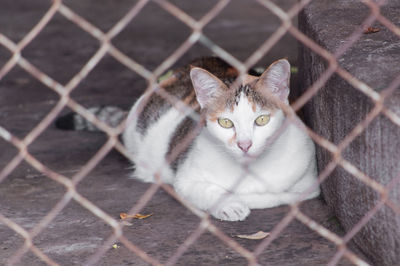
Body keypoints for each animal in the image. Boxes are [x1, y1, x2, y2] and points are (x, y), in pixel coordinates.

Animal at [123, 57, 320, 221]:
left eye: (262, 120)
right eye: (225, 122)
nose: (244, 145)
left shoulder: (308, 180)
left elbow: (279, 196)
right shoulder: (186, 177)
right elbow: (204, 189)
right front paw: (231, 205)